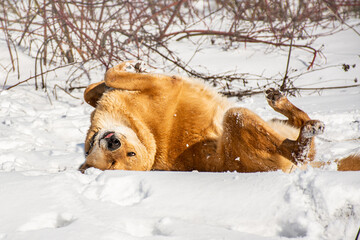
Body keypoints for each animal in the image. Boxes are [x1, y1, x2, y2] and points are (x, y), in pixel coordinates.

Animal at [79, 60, 360, 172]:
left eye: (129, 154)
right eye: (113, 162)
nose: (112, 141)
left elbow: (92, 88)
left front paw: (133, 65)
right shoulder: (162, 85)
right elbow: (111, 75)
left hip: (268, 123)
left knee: (298, 123)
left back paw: (279, 101)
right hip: (237, 118)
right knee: (298, 149)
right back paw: (304, 134)